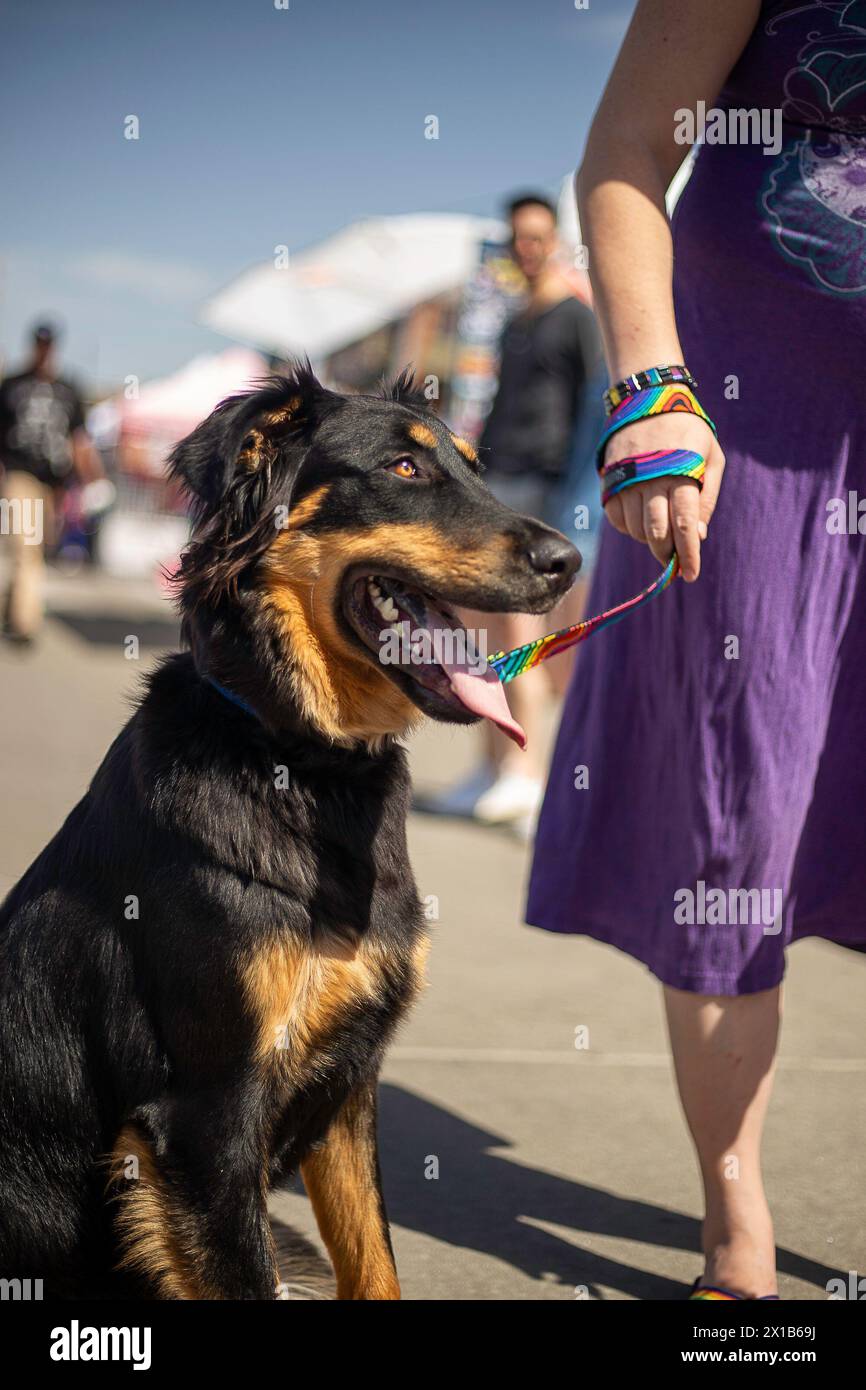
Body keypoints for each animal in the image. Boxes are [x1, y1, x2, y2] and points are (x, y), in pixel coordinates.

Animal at [1, 364, 583, 1295]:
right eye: (404, 469)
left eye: (475, 467)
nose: (570, 561)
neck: (299, 757)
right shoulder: (203, 1123)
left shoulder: (349, 1088)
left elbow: (376, 1265)